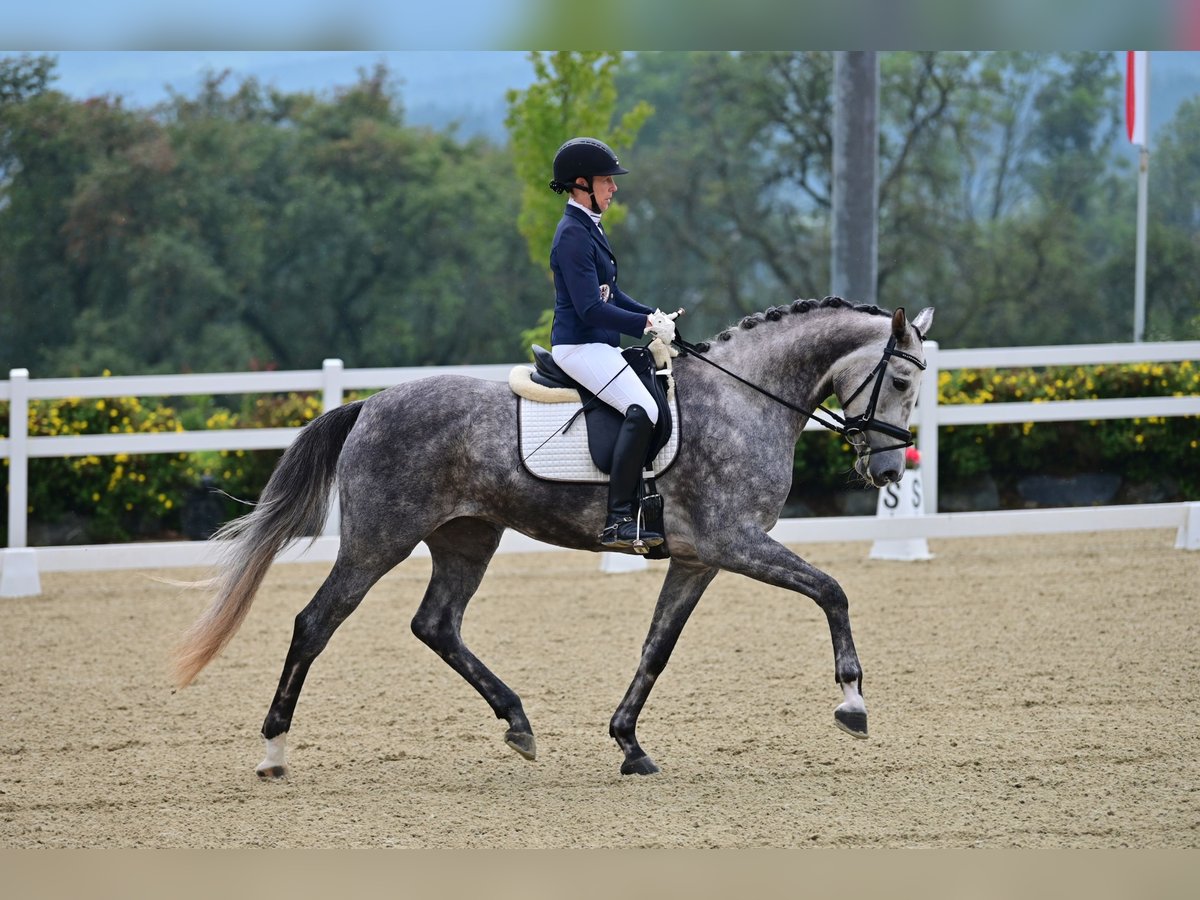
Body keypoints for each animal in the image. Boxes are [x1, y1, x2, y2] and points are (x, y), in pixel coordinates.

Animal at [174, 300, 931, 777]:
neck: (743, 399)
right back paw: (273, 753)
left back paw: (518, 724)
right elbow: (831, 590)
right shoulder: (734, 543)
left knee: (436, 624)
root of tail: (368, 405)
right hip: (377, 542)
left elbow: (657, 648)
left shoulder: (698, 559)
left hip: (468, 539)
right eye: (898, 379)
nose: (892, 471)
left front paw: (629, 745)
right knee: (315, 623)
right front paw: (852, 702)